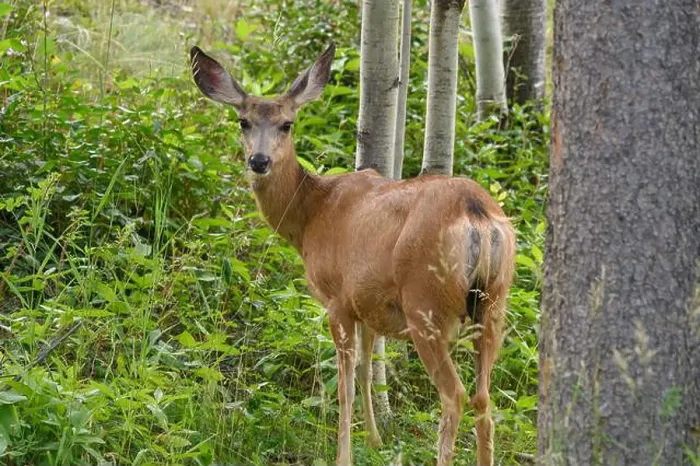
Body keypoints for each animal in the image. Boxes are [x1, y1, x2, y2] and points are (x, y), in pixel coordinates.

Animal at [190, 43, 515, 466]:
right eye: (243, 121)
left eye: (287, 124)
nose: (258, 161)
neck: (312, 214)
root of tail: (476, 212)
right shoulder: (368, 303)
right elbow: (364, 369)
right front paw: (375, 441)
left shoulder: (338, 298)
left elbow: (342, 383)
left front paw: (343, 453)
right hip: (494, 303)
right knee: (484, 398)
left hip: (426, 304)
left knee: (454, 395)